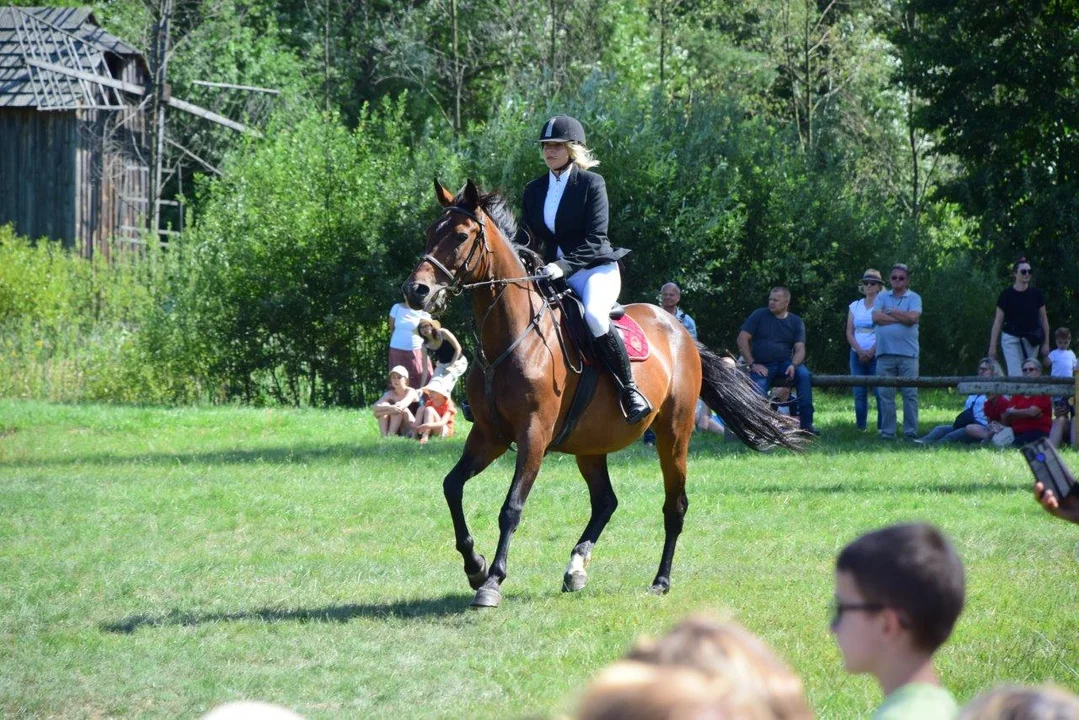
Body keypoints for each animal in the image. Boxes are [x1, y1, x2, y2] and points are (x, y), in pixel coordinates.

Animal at [405, 180, 802, 608]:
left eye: (461, 236)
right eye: (429, 232)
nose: (416, 291)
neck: (512, 339)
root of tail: (681, 333)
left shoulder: (533, 435)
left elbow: (511, 507)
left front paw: (492, 581)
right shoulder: (489, 435)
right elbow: (452, 486)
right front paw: (474, 565)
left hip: (673, 434)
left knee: (675, 506)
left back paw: (660, 580)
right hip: (591, 443)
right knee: (605, 501)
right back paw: (576, 569)